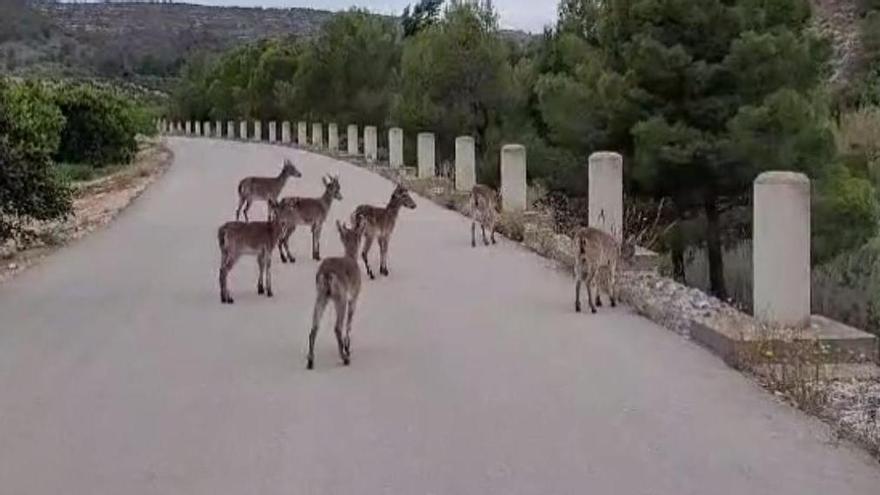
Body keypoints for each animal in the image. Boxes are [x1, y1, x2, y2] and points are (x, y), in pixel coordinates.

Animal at [307, 220, 365, 369]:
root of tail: (326, 274)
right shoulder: (354, 296)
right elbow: (349, 323)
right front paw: (348, 348)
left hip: (321, 295)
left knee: (314, 327)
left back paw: (310, 360)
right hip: (340, 297)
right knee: (337, 327)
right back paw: (345, 358)